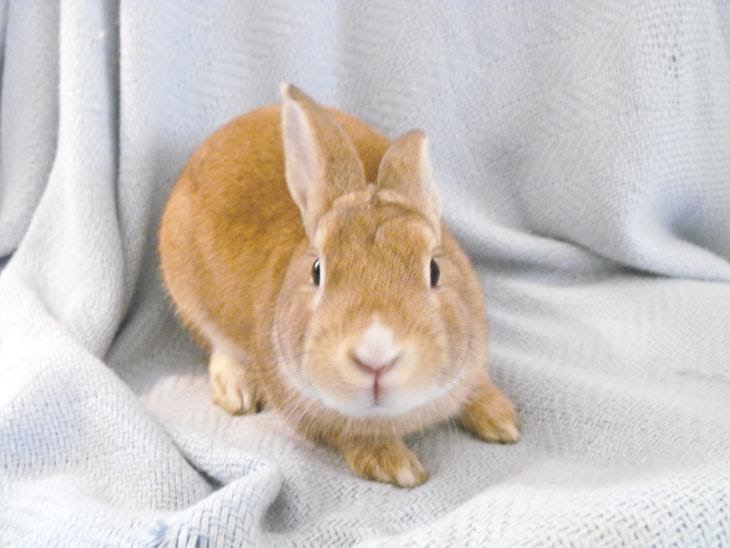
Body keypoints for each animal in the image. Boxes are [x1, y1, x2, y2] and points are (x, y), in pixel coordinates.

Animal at [159, 84, 519, 487]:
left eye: (435, 270)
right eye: (317, 271)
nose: (376, 355)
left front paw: (502, 419)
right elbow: (348, 433)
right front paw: (396, 465)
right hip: (187, 296)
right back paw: (237, 392)